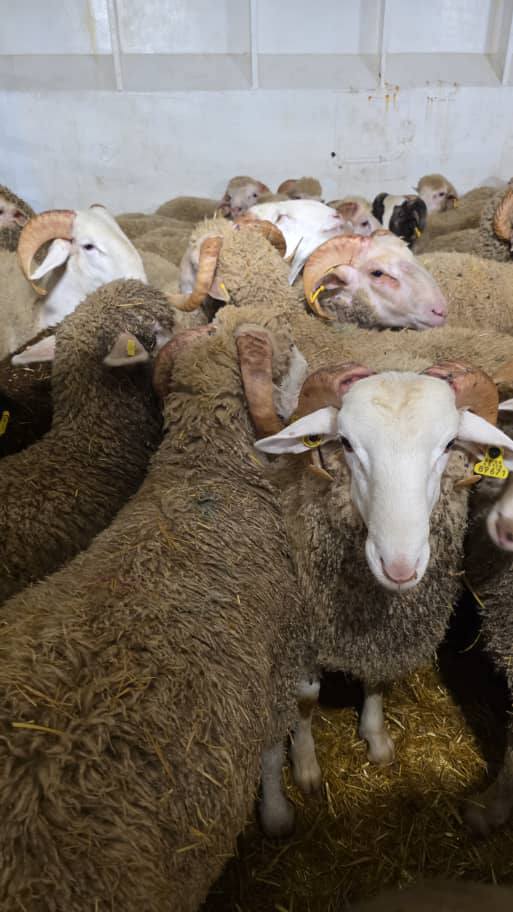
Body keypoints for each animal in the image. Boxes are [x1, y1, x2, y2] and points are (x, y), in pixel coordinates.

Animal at [0, 320, 303, 910]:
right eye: (284, 356)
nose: (305, 348)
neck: (206, 476)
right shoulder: (278, 658)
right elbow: (274, 747)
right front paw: (281, 813)